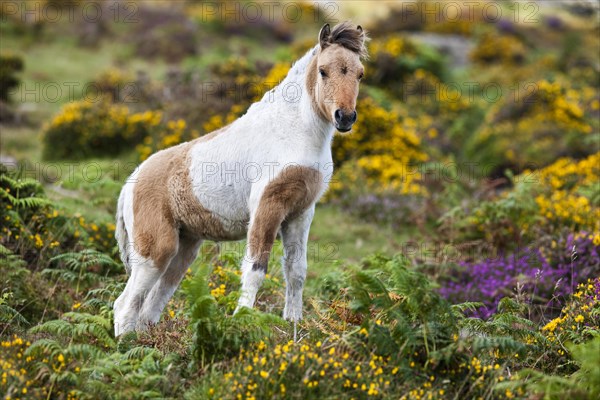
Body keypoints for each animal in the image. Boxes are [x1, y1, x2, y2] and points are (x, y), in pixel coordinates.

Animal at [110, 21, 368, 334]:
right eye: (323, 71)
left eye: (359, 73)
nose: (345, 117)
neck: (293, 131)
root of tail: (129, 184)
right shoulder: (267, 206)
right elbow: (256, 269)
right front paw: (241, 321)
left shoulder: (301, 212)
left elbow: (297, 271)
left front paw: (293, 327)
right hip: (156, 249)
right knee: (125, 305)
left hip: (184, 248)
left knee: (151, 304)